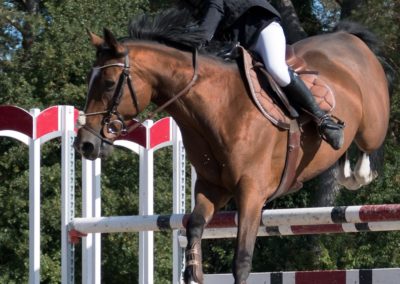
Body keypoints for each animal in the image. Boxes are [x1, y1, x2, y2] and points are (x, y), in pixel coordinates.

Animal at [75, 9, 390, 284]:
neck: (217, 106)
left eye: (109, 83)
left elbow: (241, 260)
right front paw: (193, 271)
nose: (85, 145)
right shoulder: (212, 187)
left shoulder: (251, 192)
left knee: (368, 146)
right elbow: (193, 228)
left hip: (371, 127)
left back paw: (348, 158)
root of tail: (350, 38)